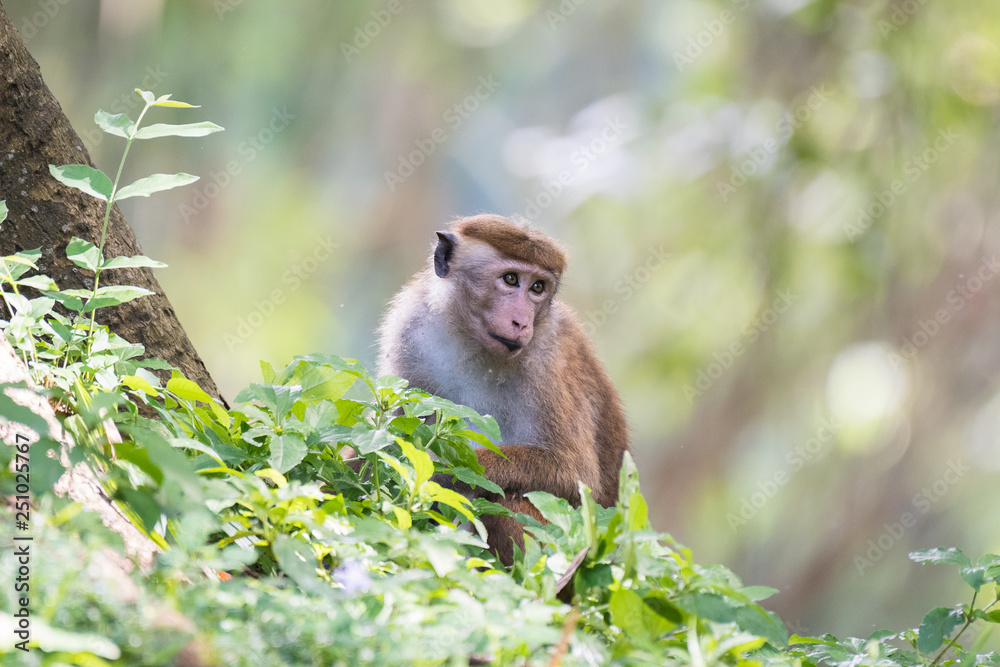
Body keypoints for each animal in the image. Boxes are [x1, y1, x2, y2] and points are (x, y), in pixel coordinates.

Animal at [376, 213, 630, 566]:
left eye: (537, 287)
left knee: (507, 500)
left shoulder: (549, 362)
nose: (521, 322)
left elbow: (575, 475)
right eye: (510, 279)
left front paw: (440, 471)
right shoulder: (408, 327)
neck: (473, 342)